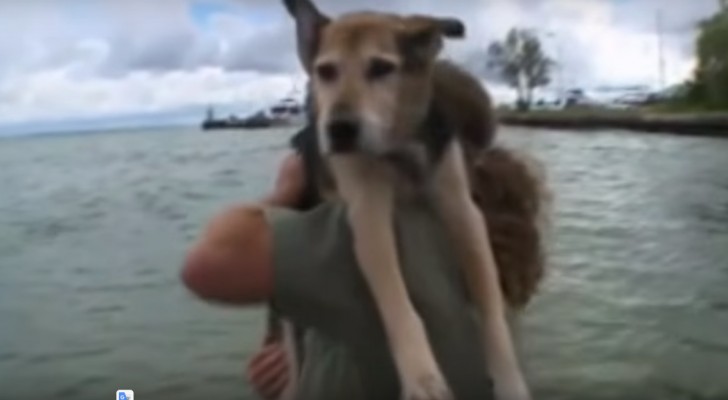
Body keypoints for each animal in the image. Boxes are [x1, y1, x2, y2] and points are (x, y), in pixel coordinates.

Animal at [282, 1, 544, 398]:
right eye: (325, 71)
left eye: (381, 68)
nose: (339, 130)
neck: (399, 149)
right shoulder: (369, 215)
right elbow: (397, 303)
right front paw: (421, 376)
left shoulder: (462, 210)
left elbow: (490, 304)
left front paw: (508, 378)